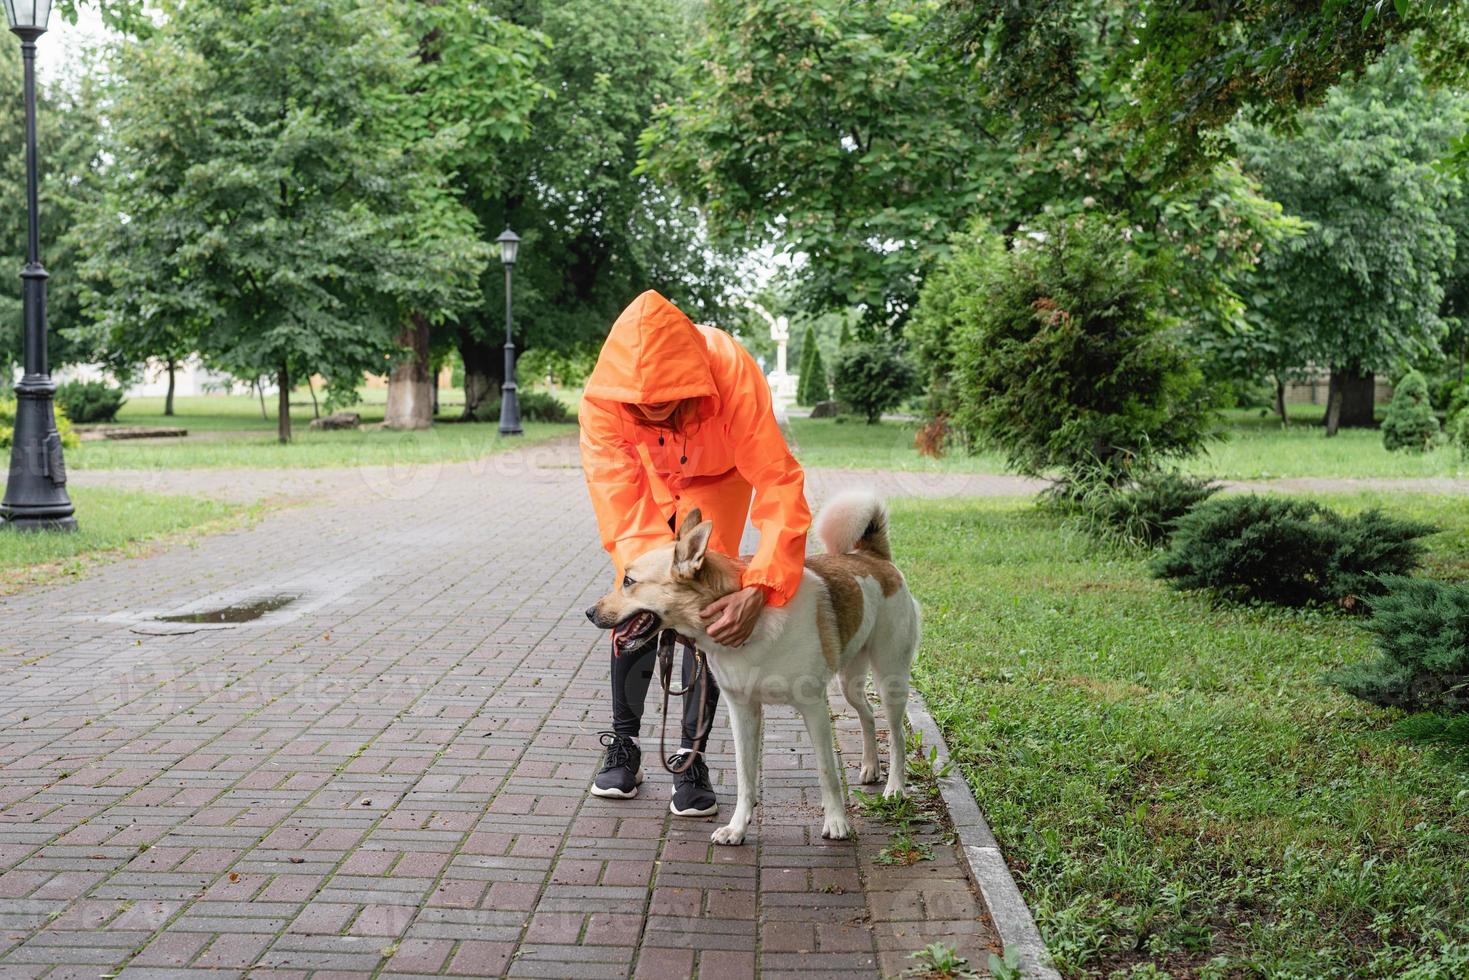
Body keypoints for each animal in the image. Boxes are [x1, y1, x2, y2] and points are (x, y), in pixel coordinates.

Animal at [584, 493, 916, 846]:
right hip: (849, 682)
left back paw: (895, 787)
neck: (750, 625)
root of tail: (871, 557)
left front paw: (837, 822)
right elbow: (745, 776)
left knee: (896, 735)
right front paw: (737, 828)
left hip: (890, 680)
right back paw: (870, 768)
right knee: (867, 714)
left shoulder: (814, 708)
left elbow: (827, 772)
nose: (589, 612)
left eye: (629, 581)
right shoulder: (742, 710)